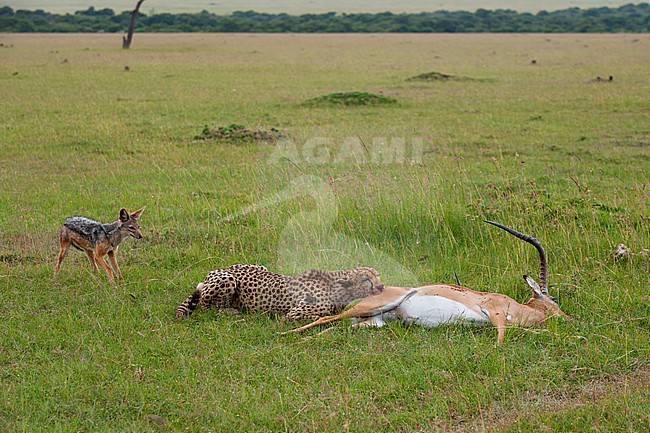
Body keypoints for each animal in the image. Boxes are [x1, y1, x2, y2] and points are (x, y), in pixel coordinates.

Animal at [175, 264, 384, 321]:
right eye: (367, 280)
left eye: (378, 275)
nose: (382, 287)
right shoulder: (296, 311)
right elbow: (321, 313)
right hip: (227, 280)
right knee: (204, 306)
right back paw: (230, 312)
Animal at [284, 221, 570, 344]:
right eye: (553, 299)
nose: (569, 319)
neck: (519, 308)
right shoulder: (494, 312)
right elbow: (502, 336)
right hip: (373, 306)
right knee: (325, 318)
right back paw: (287, 335)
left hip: (374, 322)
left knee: (339, 327)